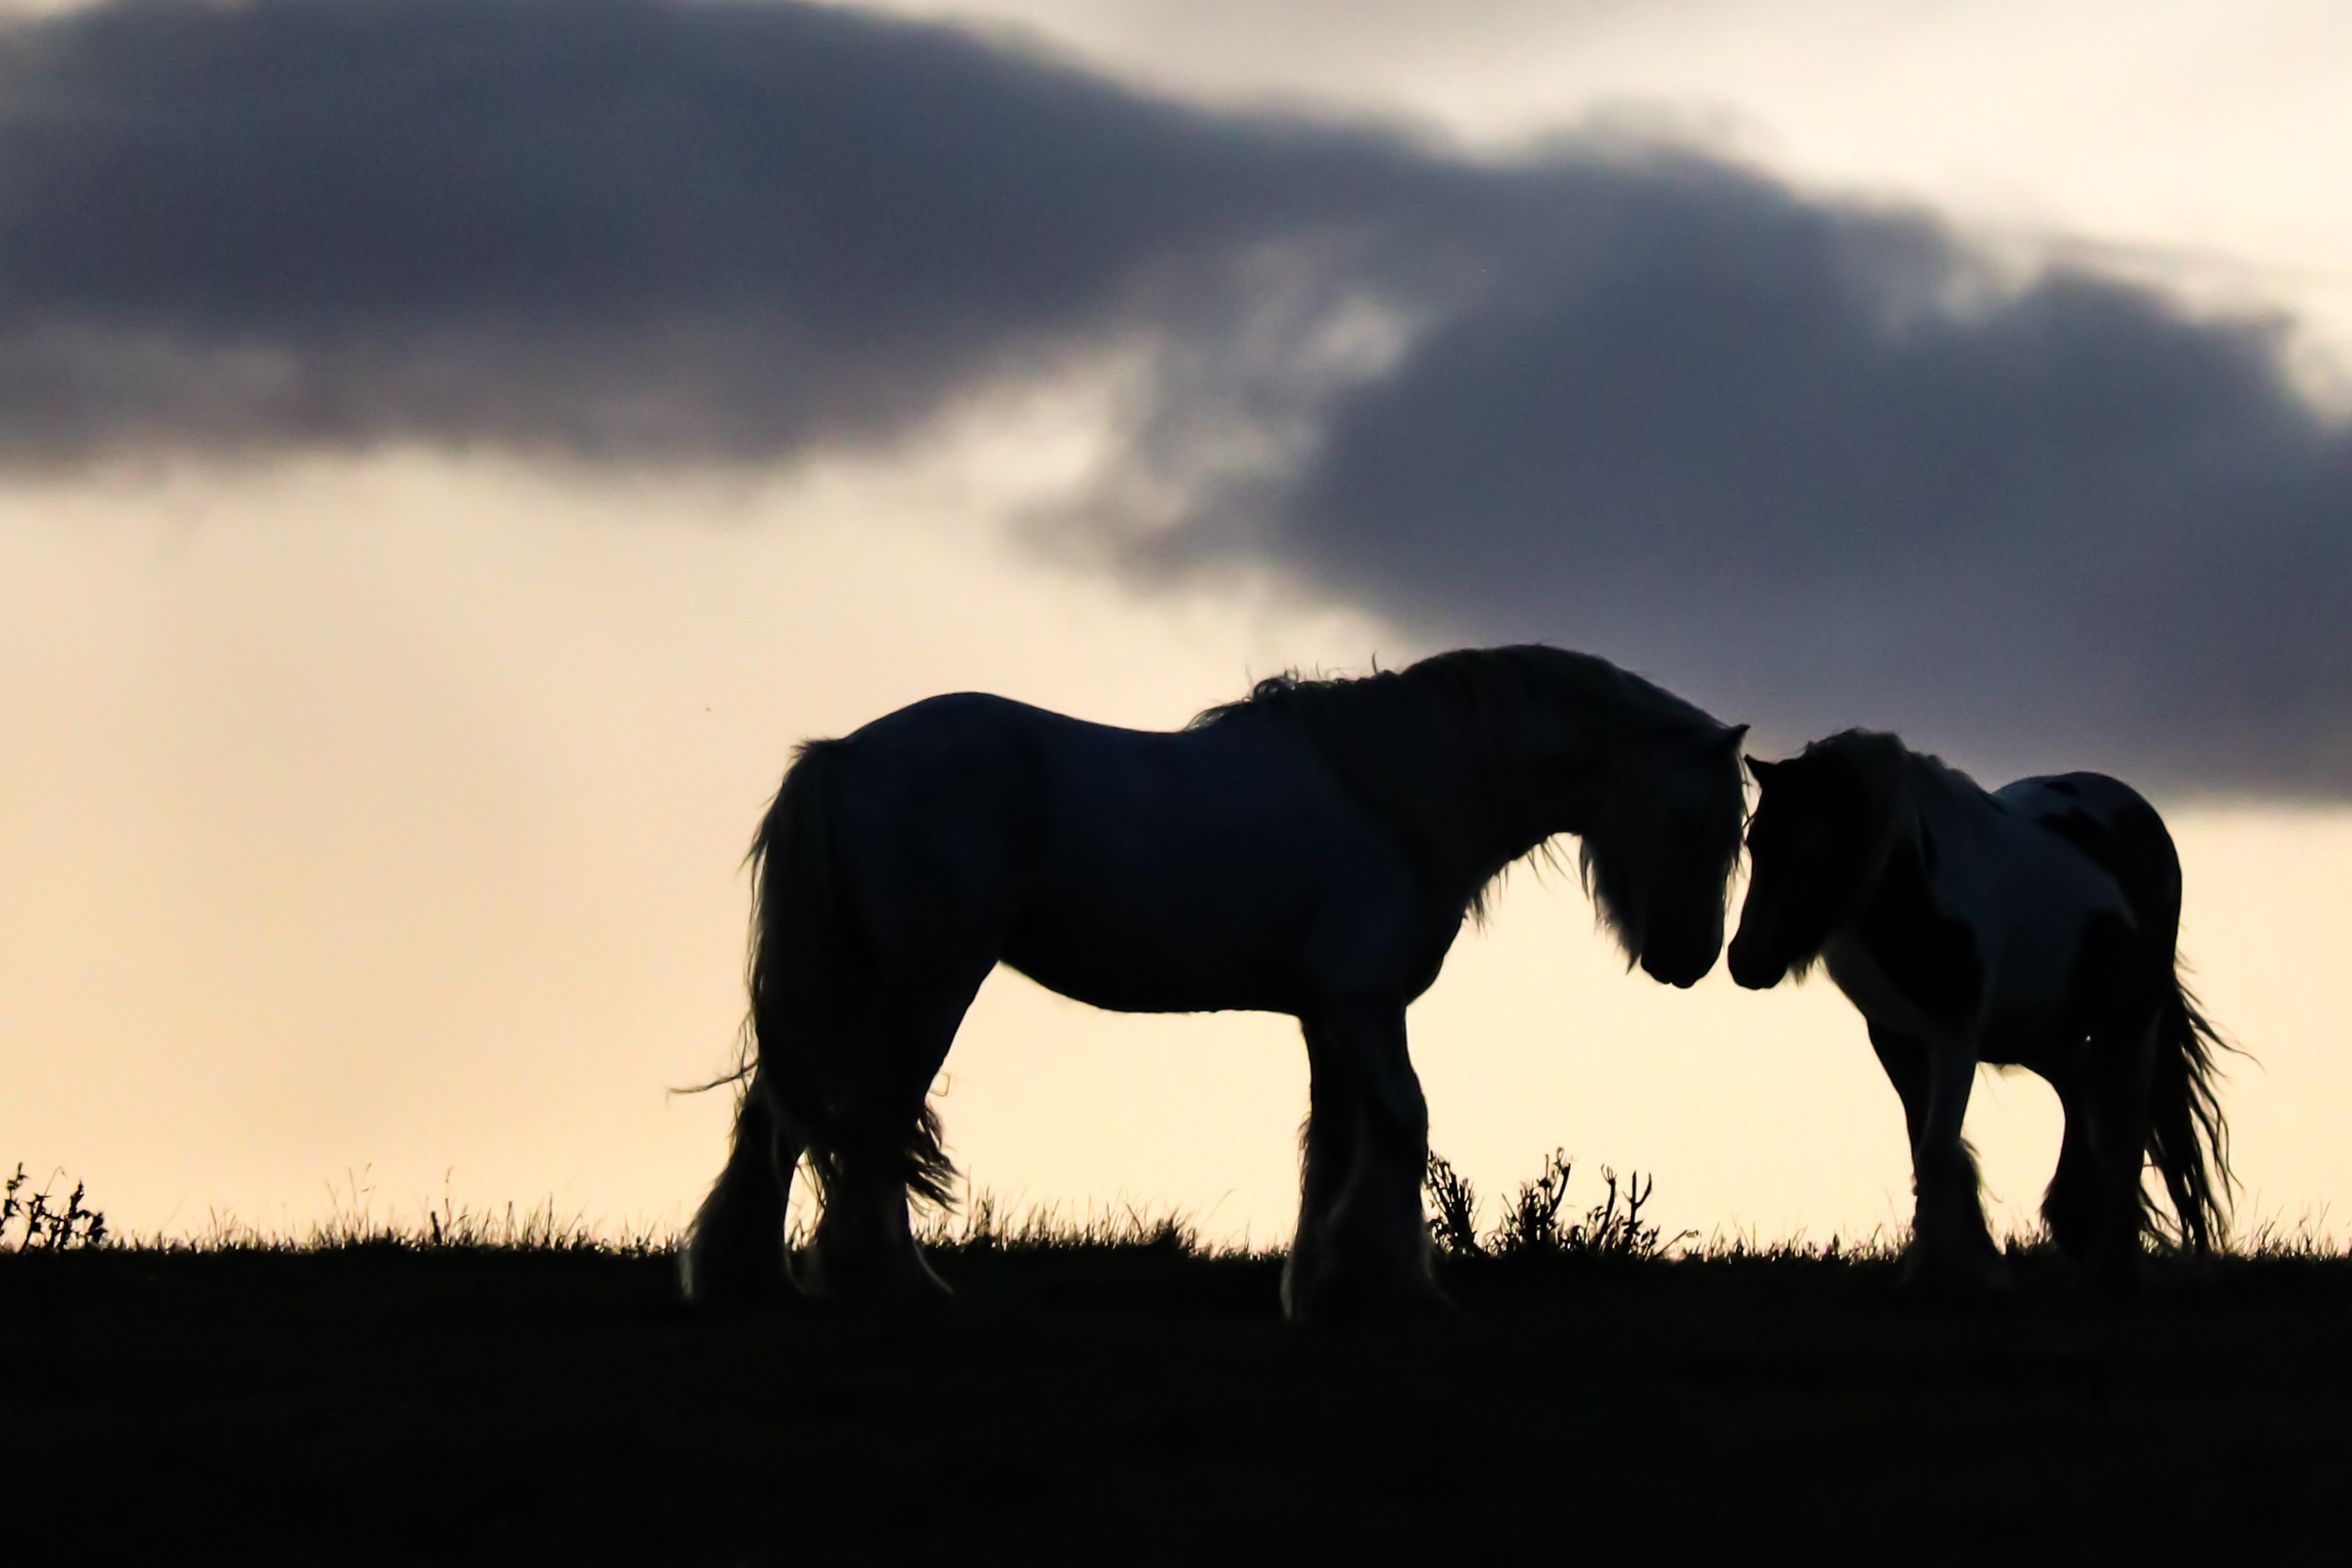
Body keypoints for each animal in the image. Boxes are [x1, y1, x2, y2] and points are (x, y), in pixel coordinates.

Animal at [680, 645, 1749, 1322]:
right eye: (1698, 820)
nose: (1690, 960)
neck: (1400, 792)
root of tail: (842, 758)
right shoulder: (1365, 1005)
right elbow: (1403, 1124)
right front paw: (1394, 1287)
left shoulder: (1328, 1015)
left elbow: (1334, 1144)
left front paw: (1324, 1288)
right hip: (925, 988)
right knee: (869, 1128)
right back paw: (893, 1288)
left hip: (855, 991)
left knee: (778, 1121)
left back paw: (749, 1283)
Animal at [1726, 730, 2234, 1288]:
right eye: (1755, 842)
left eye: (1816, 845)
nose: (1745, 962)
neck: (1914, 891)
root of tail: (2141, 815)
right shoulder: (1895, 1039)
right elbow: (1929, 1149)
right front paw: (1972, 1259)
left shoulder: (1954, 1041)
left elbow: (1935, 1152)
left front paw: (1936, 1267)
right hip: (2036, 1034)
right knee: (2081, 1087)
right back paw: (2075, 1220)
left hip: (2131, 1022)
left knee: (2123, 1127)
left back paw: (2112, 1261)